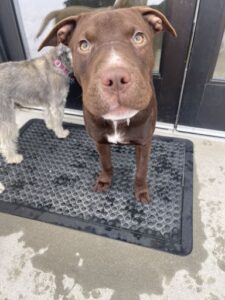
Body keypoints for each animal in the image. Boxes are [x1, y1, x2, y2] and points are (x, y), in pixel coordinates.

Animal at [38, 7, 176, 203]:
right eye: (84, 45)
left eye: (138, 37)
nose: (116, 78)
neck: (118, 121)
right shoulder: (99, 140)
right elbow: (105, 163)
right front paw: (105, 181)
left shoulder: (144, 143)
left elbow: (141, 170)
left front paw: (141, 191)